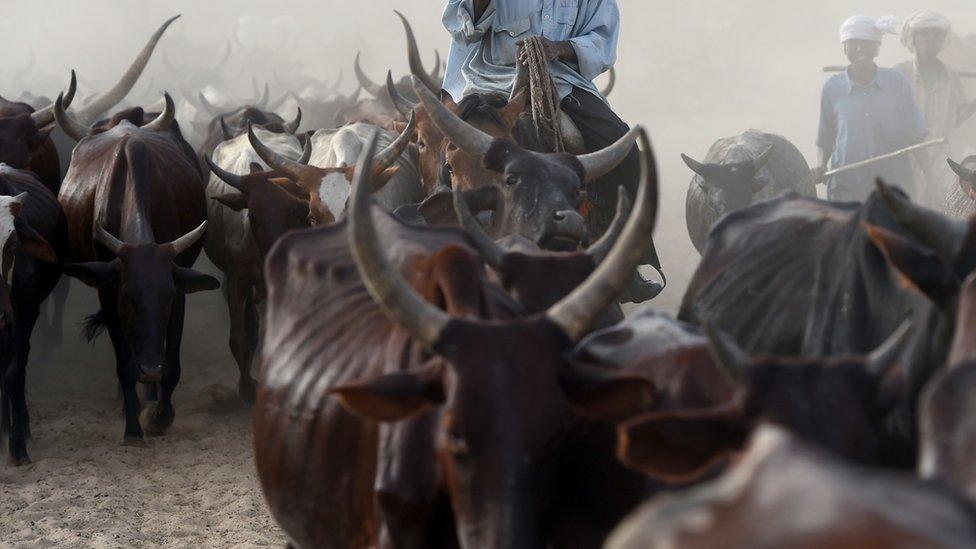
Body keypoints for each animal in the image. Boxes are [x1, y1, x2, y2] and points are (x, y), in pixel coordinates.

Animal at [55, 93, 221, 446]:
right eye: (128, 297)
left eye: (166, 298)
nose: (151, 368)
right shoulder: (108, 292)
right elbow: (124, 364)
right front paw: (133, 427)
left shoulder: (179, 287)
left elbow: (172, 362)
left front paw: (159, 415)